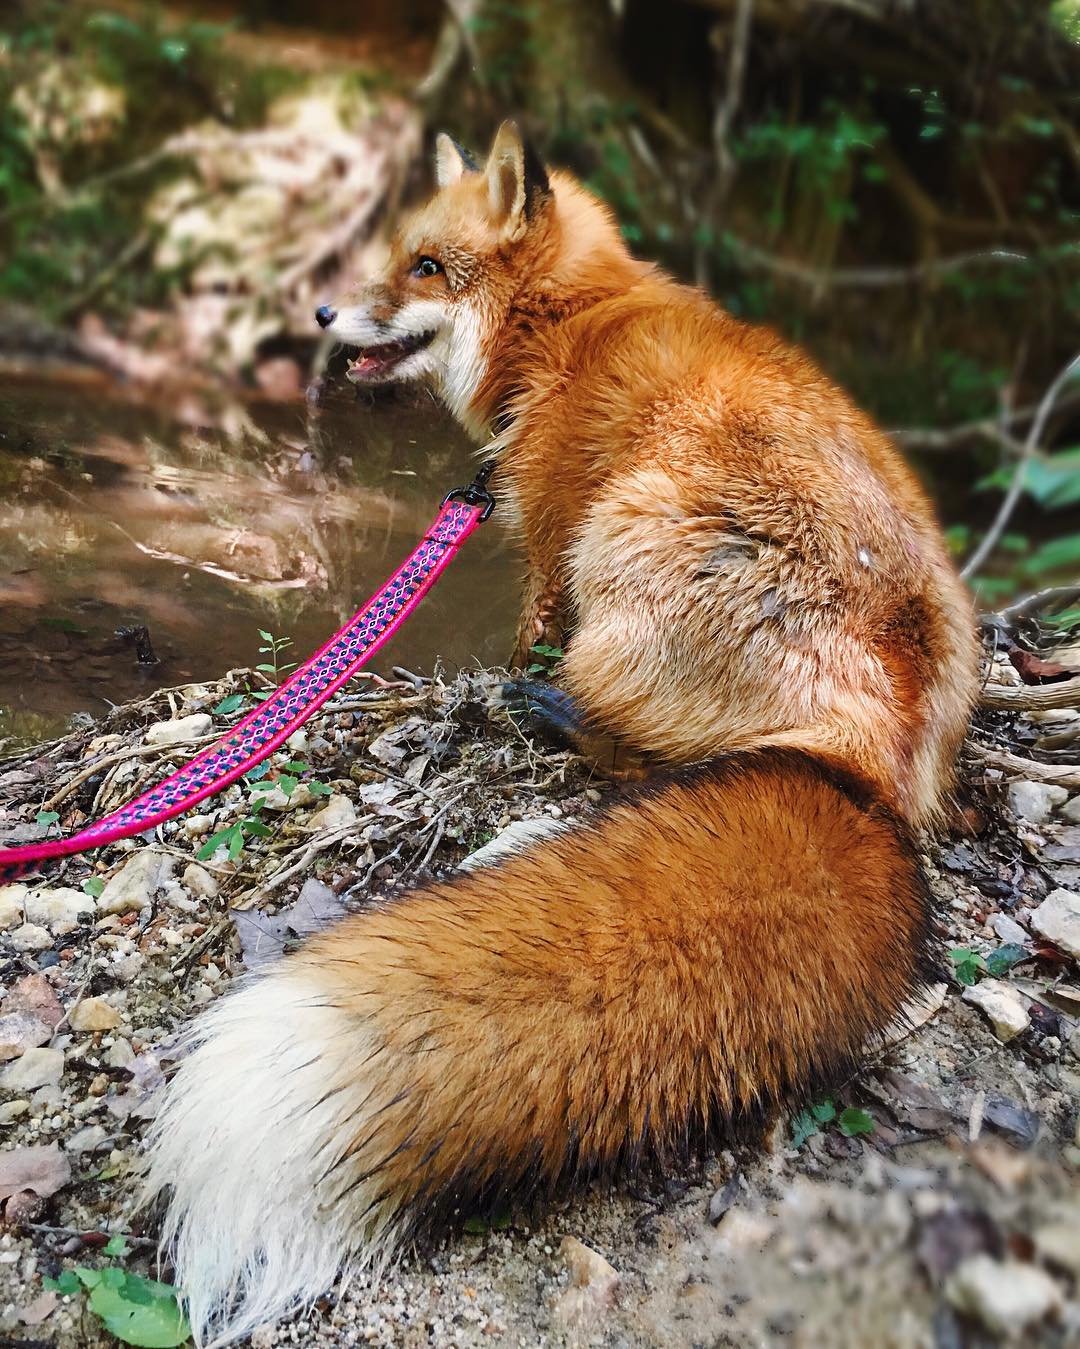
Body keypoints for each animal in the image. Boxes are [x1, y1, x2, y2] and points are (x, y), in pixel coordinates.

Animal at [142, 121, 976, 1343]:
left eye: (424, 267)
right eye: (395, 256)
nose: (324, 315)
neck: (569, 327)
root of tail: (875, 765)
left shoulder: (545, 537)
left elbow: (529, 622)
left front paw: (513, 678)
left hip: (623, 533)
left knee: (633, 740)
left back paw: (546, 713)